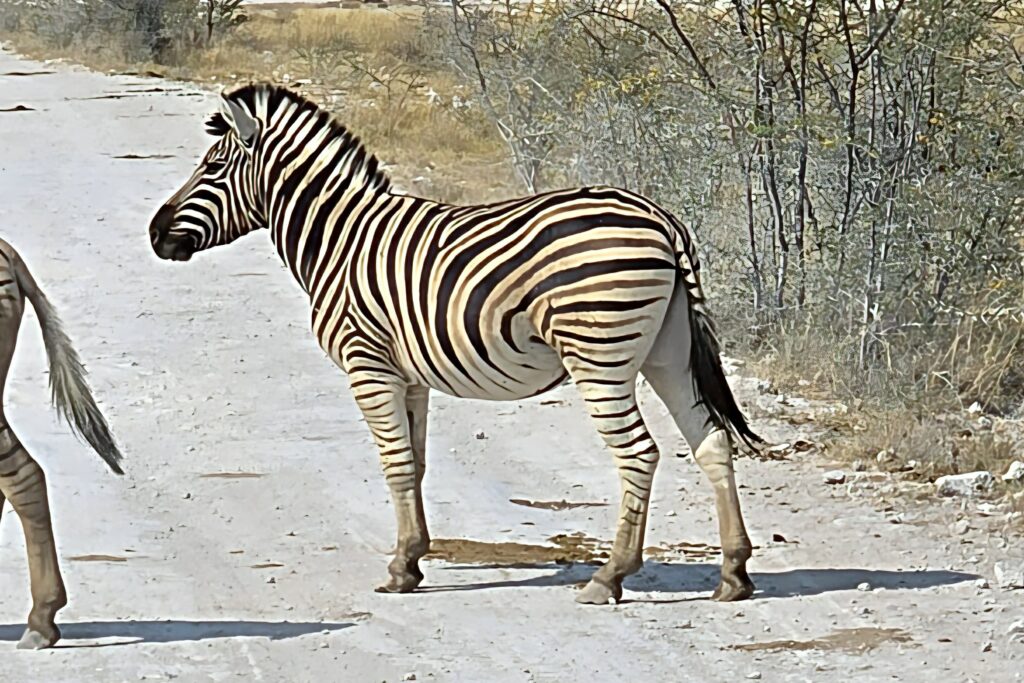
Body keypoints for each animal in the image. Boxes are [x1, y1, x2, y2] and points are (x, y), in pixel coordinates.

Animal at [148, 84, 760, 605]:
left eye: (213, 166)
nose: (155, 234)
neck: (339, 240)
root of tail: (661, 219)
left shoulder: (366, 363)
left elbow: (394, 464)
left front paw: (399, 571)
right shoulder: (408, 374)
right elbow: (415, 463)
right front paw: (414, 556)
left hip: (598, 354)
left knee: (639, 454)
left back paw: (609, 577)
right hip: (667, 352)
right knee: (711, 440)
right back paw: (733, 572)